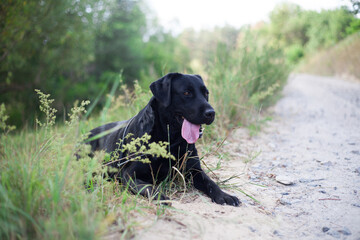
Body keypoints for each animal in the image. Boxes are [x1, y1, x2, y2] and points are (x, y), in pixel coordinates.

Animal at [86, 73, 239, 206]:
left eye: (206, 93)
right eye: (186, 93)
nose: (211, 113)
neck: (170, 141)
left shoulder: (194, 170)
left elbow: (210, 182)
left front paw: (224, 195)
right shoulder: (129, 175)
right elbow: (148, 187)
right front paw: (160, 196)